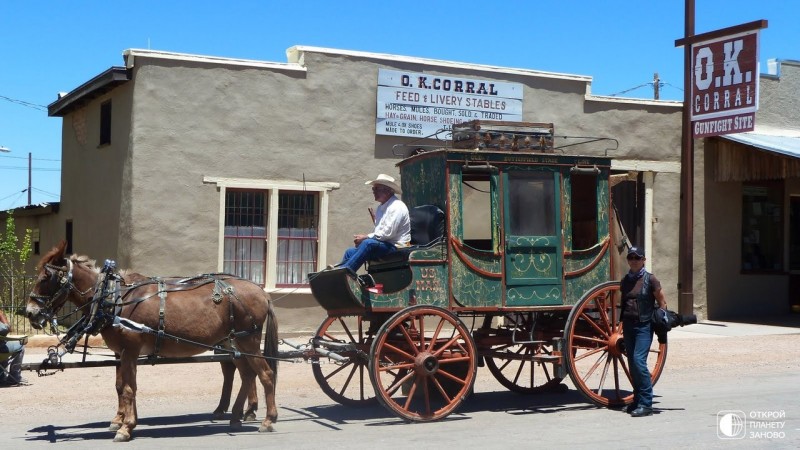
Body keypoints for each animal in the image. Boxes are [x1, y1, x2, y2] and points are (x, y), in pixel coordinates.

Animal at [25, 243, 278, 442]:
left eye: (45, 278)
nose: (30, 312)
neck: (113, 298)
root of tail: (262, 293)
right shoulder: (124, 352)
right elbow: (125, 386)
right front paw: (125, 422)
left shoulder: (130, 349)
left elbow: (128, 388)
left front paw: (125, 428)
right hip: (233, 343)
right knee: (246, 374)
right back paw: (235, 416)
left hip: (248, 340)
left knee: (265, 374)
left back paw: (268, 419)